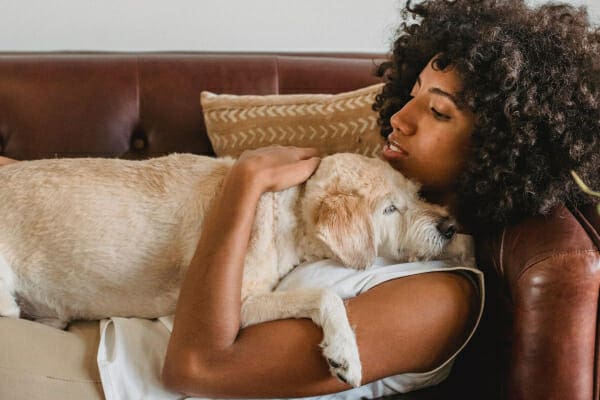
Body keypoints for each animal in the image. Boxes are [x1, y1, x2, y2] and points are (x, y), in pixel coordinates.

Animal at [0, 152, 454, 386]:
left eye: (415, 193)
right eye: (389, 209)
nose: (450, 227)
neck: (289, 206)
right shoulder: (240, 303)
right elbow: (324, 294)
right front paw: (344, 353)